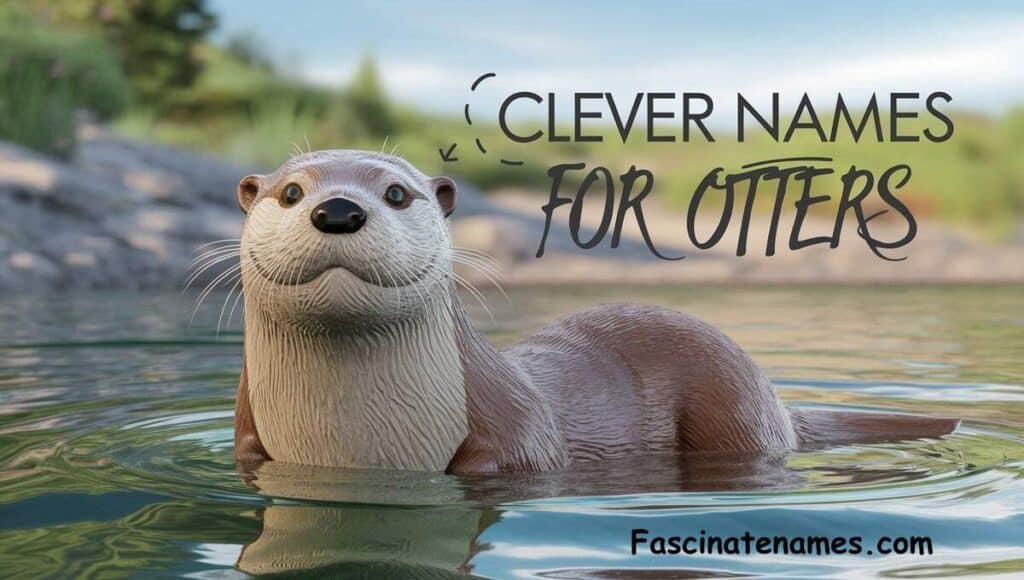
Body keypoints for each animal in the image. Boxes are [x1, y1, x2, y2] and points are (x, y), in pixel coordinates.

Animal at [232, 150, 957, 474]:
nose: (339, 209)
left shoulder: (512, 424)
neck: (354, 436)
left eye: (396, 193)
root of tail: (776, 400)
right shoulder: (247, 431)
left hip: (729, 403)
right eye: (291, 191)